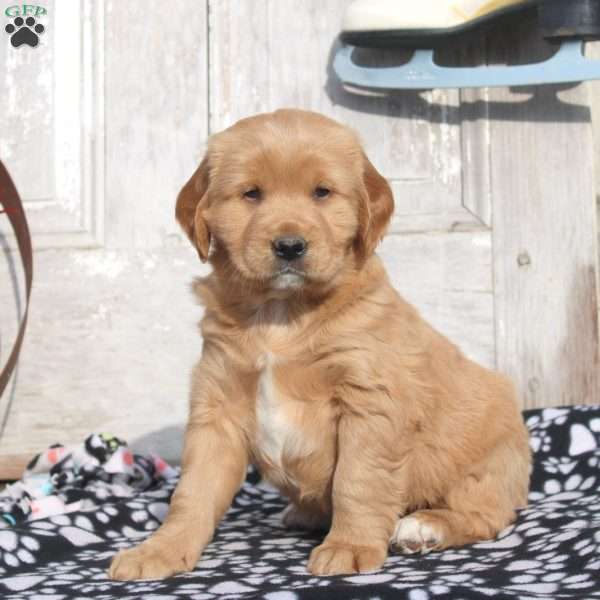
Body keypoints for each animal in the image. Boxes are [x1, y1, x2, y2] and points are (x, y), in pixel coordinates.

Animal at [108, 109, 528, 580]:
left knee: (486, 515)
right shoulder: (217, 406)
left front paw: (350, 546)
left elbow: (357, 480)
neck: (281, 316)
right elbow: (192, 492)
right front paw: (159, 551)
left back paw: (424, 527)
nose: (290, 246)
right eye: (252, 194)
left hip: (487, 464)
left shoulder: (369, 402)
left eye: (322, 192)